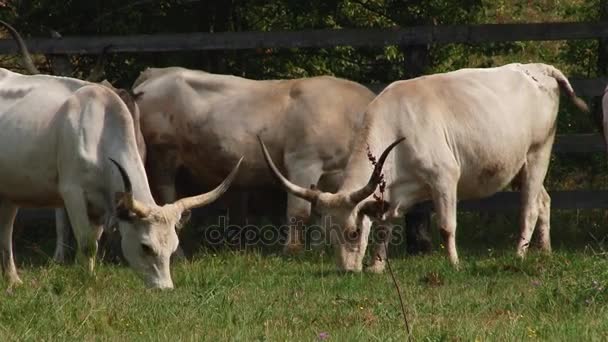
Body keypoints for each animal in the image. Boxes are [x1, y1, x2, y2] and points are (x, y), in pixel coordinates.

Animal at [132, 67, 376, 254]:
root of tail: (157, 73)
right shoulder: (303, 162)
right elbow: (299, 212)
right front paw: (293, 250)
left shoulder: (330, 174)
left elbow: (320, 211)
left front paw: (317, 249)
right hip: (163, 158)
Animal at [260, 62, 588, 272]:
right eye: (330, 234)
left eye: (353, 233)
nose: (346, 271)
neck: (396, 125)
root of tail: (541, 69)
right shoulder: (390, 193)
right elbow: (384, 227)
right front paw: (377, 266)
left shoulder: (444, 178)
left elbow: (446, 226)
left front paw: (454, 263)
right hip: (520, 165)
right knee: (543, 200)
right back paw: (544, 250)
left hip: (538, 154)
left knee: (529, 207)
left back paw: (519, 254)